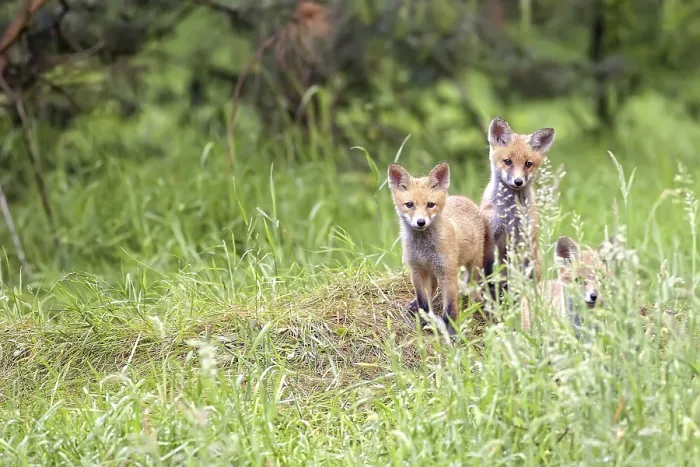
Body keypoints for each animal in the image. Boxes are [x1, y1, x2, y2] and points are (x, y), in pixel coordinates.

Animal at [388, 161, 486, 332]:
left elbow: (450, 308)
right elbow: (423, 301)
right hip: (431, 271)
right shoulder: (416, 270)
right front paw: (424, 320)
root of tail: (465, 199)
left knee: (473, 285)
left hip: (473, 264)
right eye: (409, 205)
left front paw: (451, 330)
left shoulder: (447, 273)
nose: (421, 222)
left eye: (430, 205)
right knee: (432, 287)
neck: (424, 249)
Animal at [481, 117, 556, 286]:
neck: (510, 213)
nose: (518, 181)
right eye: (507, 161)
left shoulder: (523, 239)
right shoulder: (492, 240)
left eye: (528, 164)